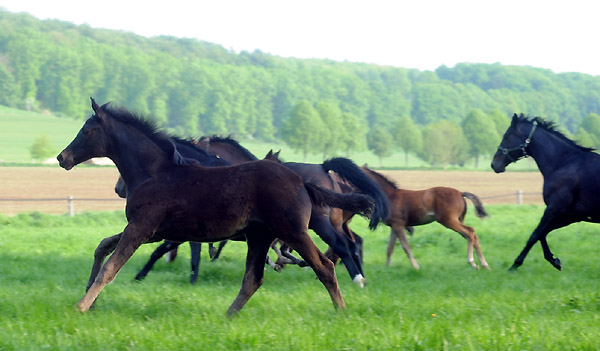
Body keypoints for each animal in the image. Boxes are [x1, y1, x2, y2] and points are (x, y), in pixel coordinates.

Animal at [58, 99, 372, 316]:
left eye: (86, 130)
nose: (63, 157)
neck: (154, 172)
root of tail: (303, 182)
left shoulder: (141, 228)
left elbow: (111, 266)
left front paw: (81, 306)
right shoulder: (152, 232)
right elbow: (102, 246)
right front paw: (90, 297)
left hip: (294, 232)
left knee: (326, 265)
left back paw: (342, 310)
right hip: (260, 237)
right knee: (253, 279)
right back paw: (227, 316)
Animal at [358, 165, 490, 270]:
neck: (389, 197)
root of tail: (460, 193)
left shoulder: (399, 225)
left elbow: (406, 247)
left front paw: (416, 267)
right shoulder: (394, 226)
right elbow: (390, 248)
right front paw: (387, 267)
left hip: (449, 220)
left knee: (470, 231)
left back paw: (472, 262)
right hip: (458, 219)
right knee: (472, 235)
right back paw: (484, 264)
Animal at [492, 115, 600, 272]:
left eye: (506, 136)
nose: (494, 164)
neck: (563, 163)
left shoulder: (554, 209)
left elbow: (535, 234)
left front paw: (515, 265)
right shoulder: (570, 215)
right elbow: (542, 234)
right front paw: (554, 260)